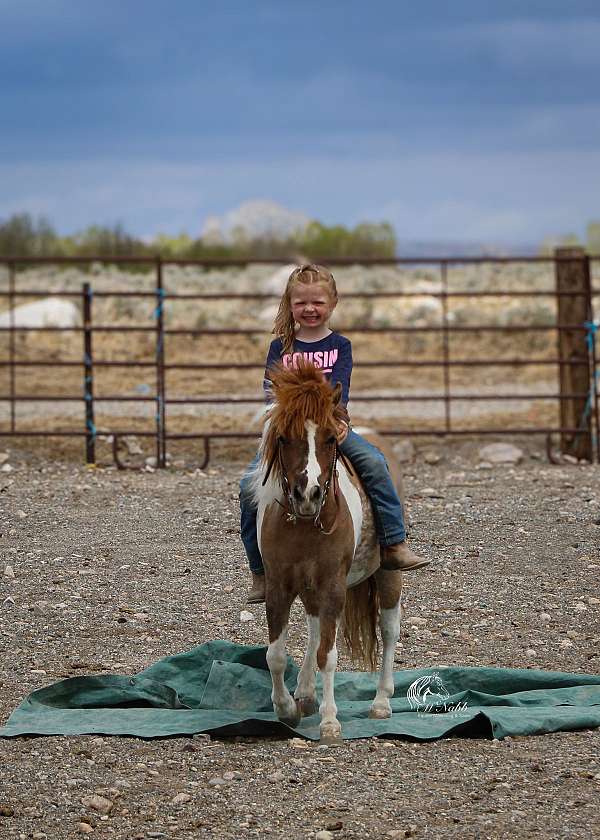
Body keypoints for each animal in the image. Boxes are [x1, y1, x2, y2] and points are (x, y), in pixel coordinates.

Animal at [249, 361, 403, 742]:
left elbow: (328, 655)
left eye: (331, 438)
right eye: (283, 438)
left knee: (389, 628)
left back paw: (381, 701)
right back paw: (304, 694)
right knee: (316, 626)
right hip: (311, 588)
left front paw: (330, 721)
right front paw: (286, 708)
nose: (309, 494)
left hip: (387, 573)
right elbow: (275, 655)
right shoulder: (279, 585)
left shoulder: (333, 584)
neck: (306, 523)